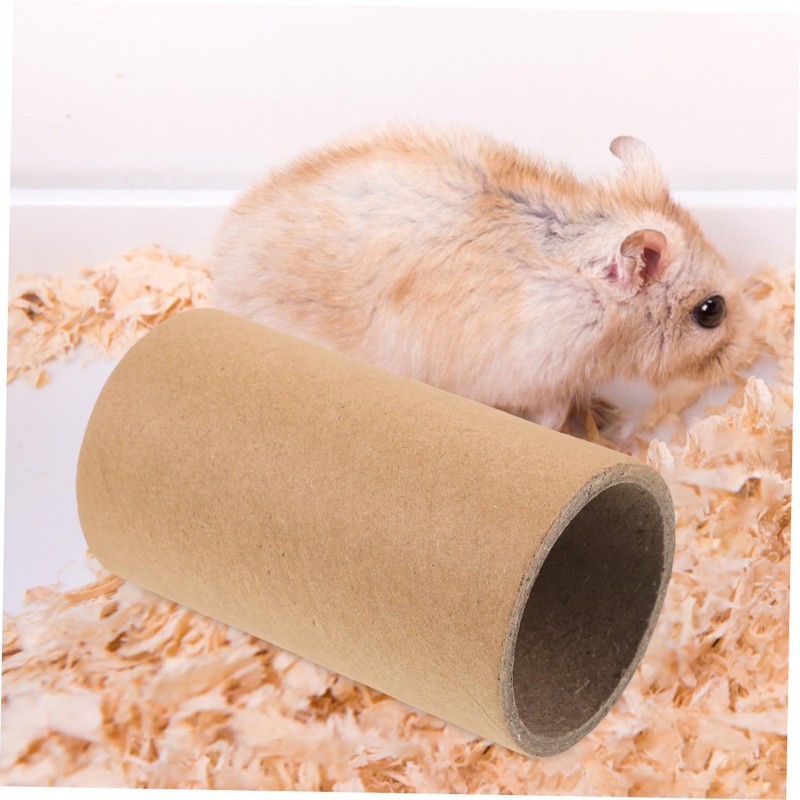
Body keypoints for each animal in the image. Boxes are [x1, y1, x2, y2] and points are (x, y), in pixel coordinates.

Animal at [210, 124, 754, 430]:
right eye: (711, 311)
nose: (746, 354)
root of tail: (218, 274)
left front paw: (606, 413)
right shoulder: (536, 377)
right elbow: (552, 413)